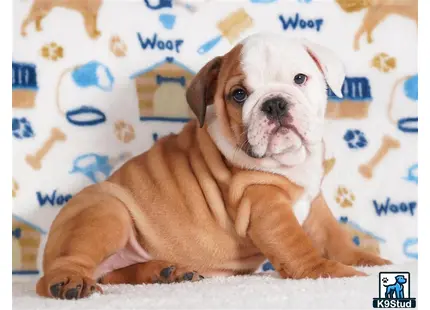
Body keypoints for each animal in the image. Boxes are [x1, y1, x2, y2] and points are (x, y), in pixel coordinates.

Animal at [37, 32, 392, 300]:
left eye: (300, 79)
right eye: (239, 94)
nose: (275, 103)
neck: (290, 161)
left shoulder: (313, 201)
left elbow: (334, 236)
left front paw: (369, 261)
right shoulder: (264, 203)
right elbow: (297, 245)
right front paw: (331, 273)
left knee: (114, 274)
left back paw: (164, 272)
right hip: (105, 214)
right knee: (65, 267)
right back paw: (68, 281)